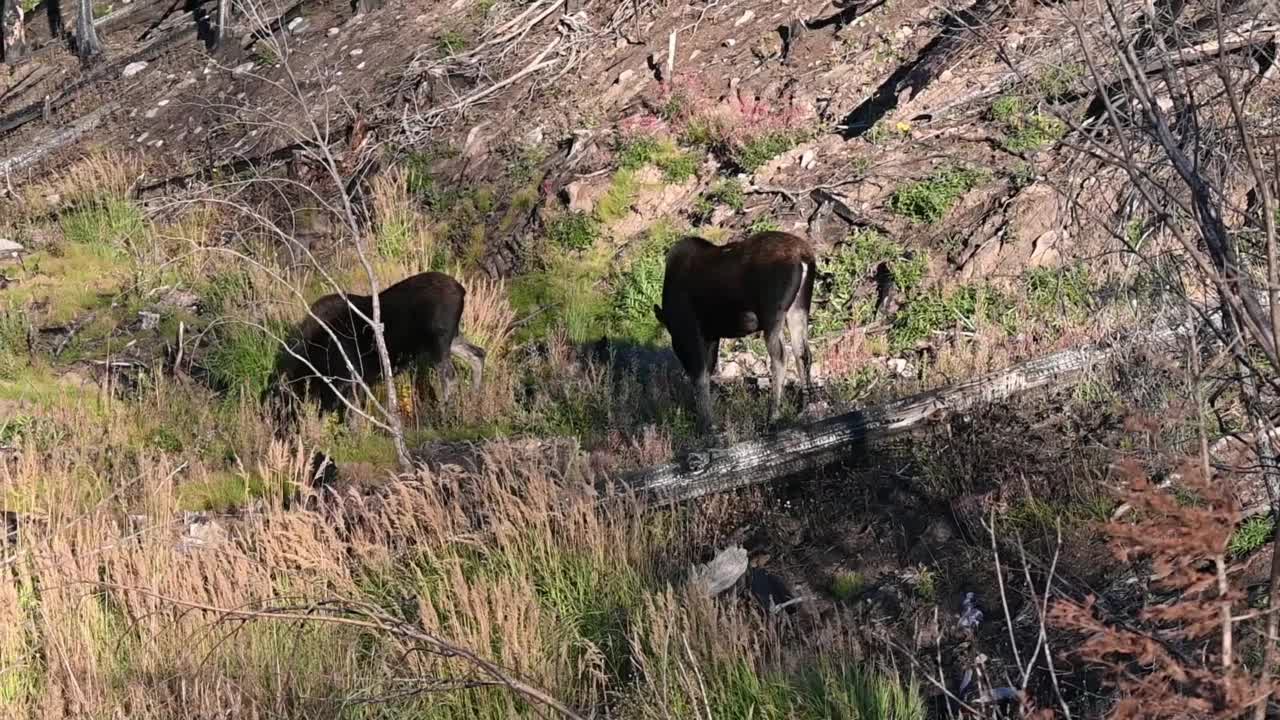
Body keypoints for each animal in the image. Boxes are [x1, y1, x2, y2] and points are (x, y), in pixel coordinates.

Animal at [267, 269, 486, 417]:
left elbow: (353, 416)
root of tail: (462, 291)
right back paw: (474, 401)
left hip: (438, 343)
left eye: (282, 405)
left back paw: (445, 413)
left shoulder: (351, 378)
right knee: (478, 354)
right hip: (451, 339)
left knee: (450, 377)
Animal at [655, 229, 814, 430]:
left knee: (780, 357)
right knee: (803, 353)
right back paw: (805, 407)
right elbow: (708, 372)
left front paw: (707, 423)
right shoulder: (712, 335)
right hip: (798, 307)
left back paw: (773, 415)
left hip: (772, 313)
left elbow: (700, 376)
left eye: (677, 343)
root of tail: (804, 257)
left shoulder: (691, 329)